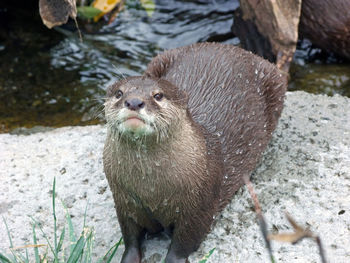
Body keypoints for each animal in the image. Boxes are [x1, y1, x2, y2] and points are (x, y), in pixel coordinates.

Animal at [103, 42, 288, 262]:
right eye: (119, 93)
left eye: (158, 95)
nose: (133, 102)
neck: (151, 190)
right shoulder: (124, 202)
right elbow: (130, 238)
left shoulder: (200, 205)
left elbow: (184, 243)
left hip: (275, 82)